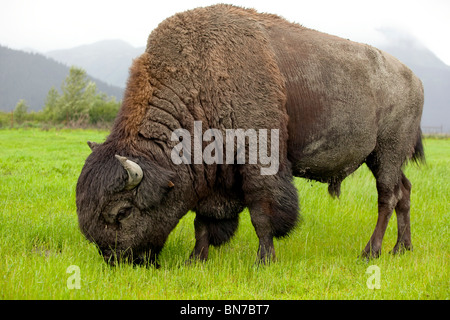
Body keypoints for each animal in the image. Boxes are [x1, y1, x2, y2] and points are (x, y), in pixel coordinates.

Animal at [75, 4, 424, 268]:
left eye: (122, 212)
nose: (117, 261)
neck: (200, 85)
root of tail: (415, 79)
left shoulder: (260, 163)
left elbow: (262, 215)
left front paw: (263, 261)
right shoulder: (212, 176)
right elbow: (202, 221)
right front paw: (195, 259)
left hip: (387, 152)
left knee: (387, 197)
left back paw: (371, 251)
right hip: (382, 158)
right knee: (404, 191)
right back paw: (402, 248)